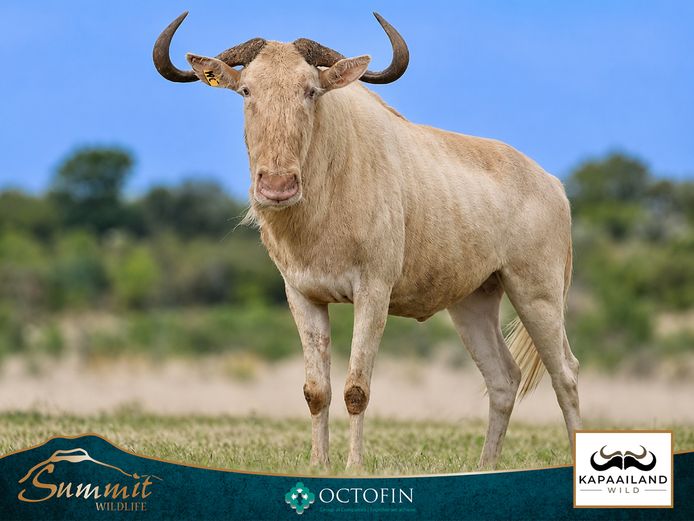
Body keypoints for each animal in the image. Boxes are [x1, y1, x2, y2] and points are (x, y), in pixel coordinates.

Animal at [153, 11, 581, 470]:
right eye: (247, 90)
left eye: (310, 91)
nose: (277, 186)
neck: (327, 193)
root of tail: (552, 185)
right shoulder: (302, 296)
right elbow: (316, 390)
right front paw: (318, 463)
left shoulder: (373, 292)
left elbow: (356, 389)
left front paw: (353, 465)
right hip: (473, 302)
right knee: (504, 378)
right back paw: (485, 466)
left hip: (536, 294)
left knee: (565, 374)